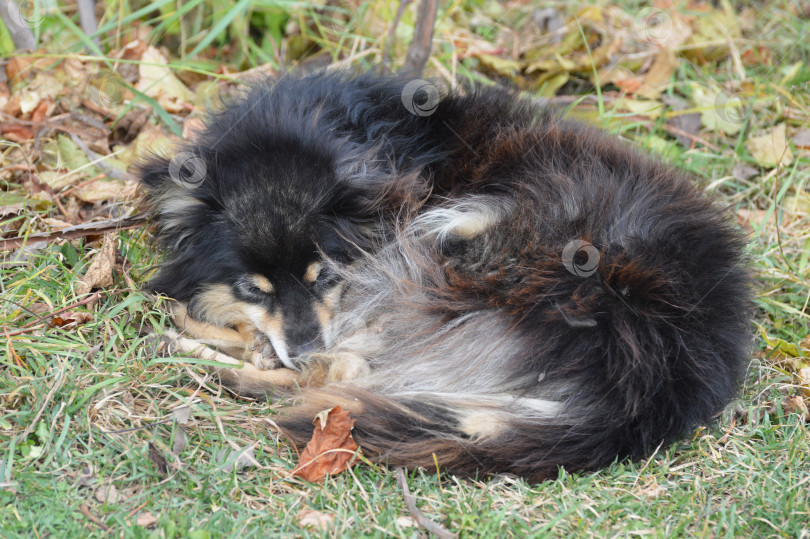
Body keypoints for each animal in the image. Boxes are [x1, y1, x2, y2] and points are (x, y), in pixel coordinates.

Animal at [140, 70, 752, 480]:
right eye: (252, 287)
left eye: (327, 276)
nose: (304, 346)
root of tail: (651, 381)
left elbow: (330, 360)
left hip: (458, 245)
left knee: (344, 376)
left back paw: (200, 356)